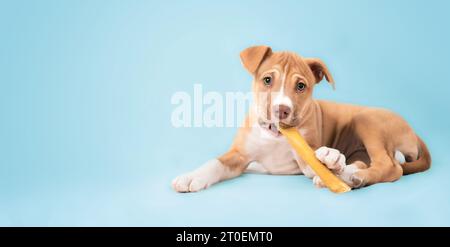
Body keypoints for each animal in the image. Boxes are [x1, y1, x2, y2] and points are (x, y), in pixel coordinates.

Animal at [171, 45, 430, 192]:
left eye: (301, 86)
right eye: (267, 80)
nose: (282, 110)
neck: (276, 135)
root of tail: (414, 132)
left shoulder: (305, 157)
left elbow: (314, 160)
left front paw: (330, 159)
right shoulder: (239, 155)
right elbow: (214, 163)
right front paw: (190, 177)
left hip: (367, 120)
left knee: (391, 167)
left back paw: (349, 175)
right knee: (369, 162)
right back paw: (347, 175)